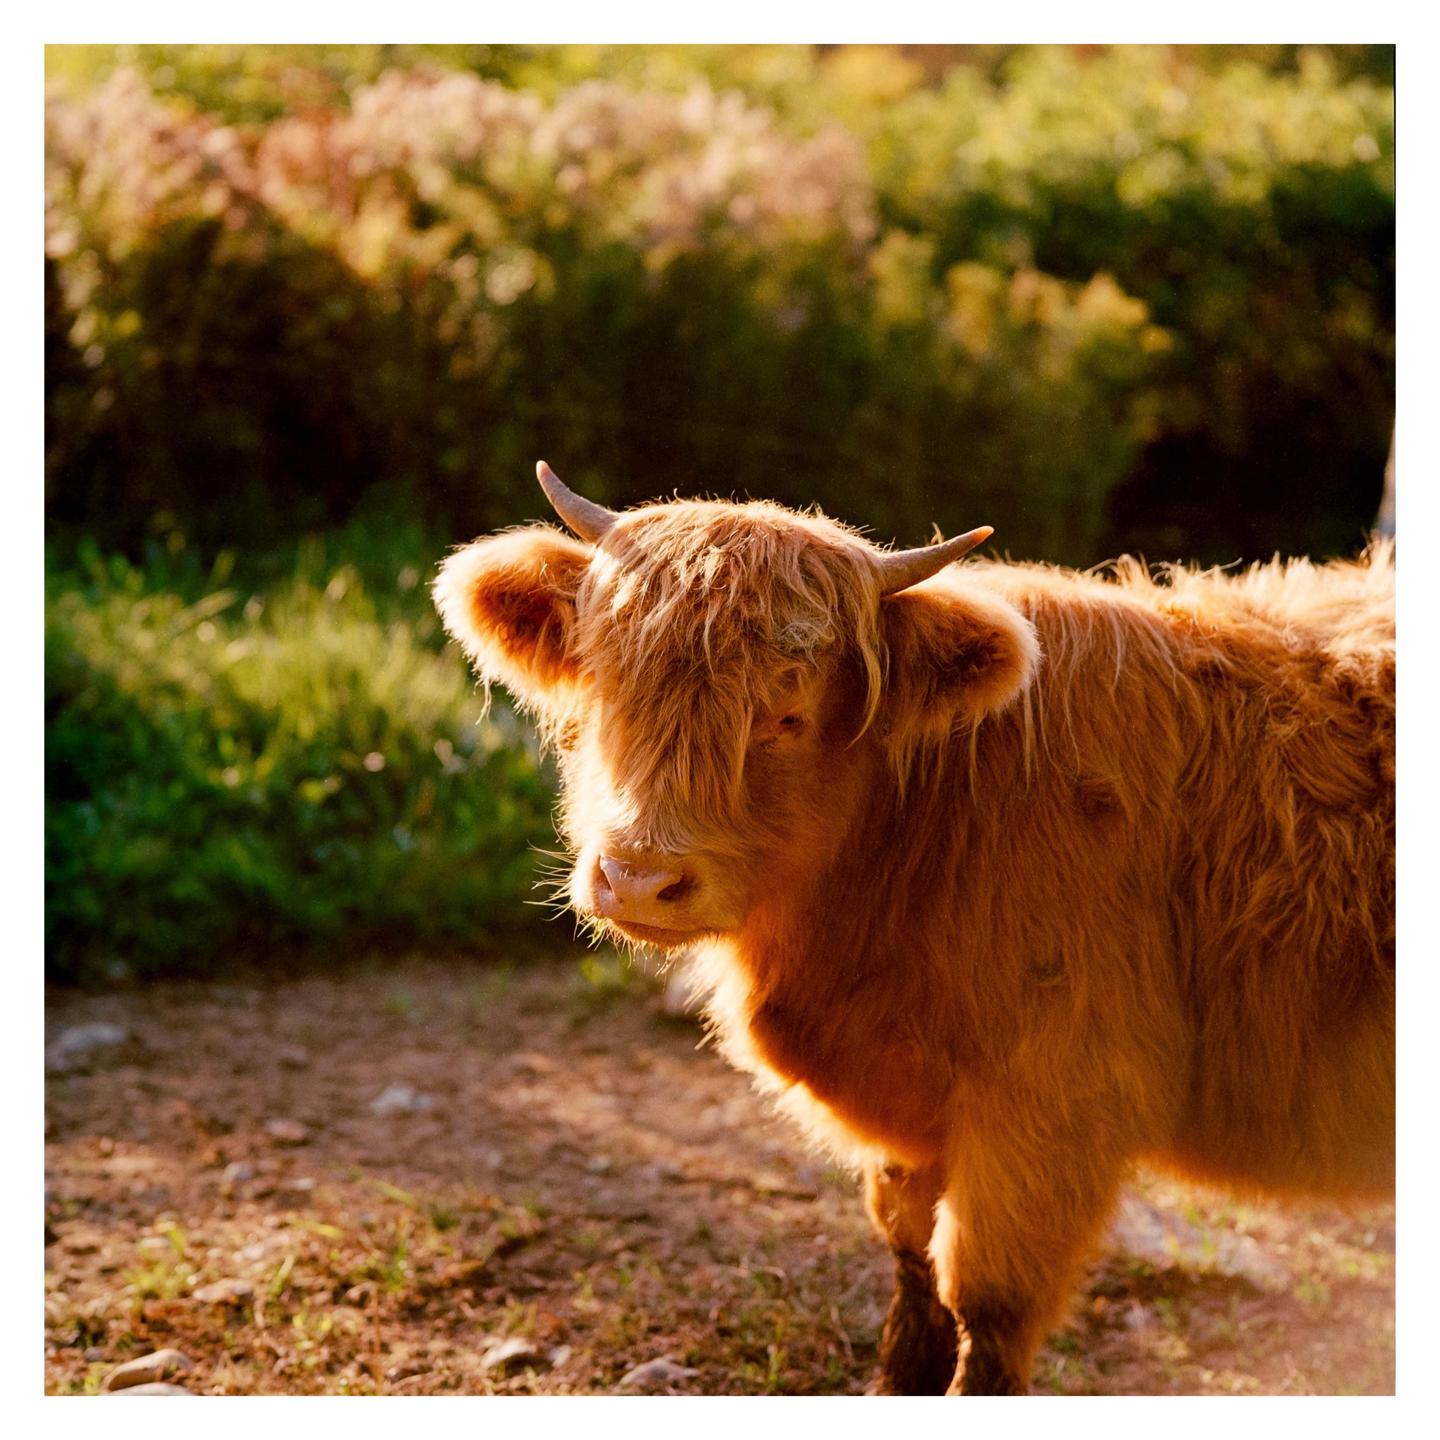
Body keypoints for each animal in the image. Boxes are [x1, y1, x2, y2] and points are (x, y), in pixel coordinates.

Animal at [433, 462, 1395, 1395]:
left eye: (788, 715)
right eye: (606, 684)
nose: (637, 878)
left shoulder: (1054, 1106)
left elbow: (987, 1301)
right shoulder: (912, 1110)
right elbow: (910, 1259)